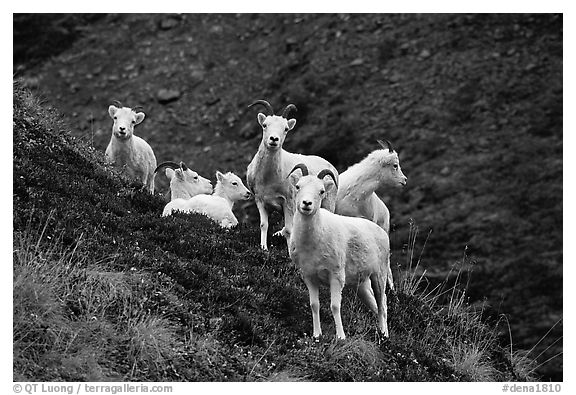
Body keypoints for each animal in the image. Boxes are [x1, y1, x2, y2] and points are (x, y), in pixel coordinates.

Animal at [246, 100, 338, 252]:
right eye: (265, 125)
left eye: (286, 129)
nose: (273, 139)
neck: (268, 179)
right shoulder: (260, 201)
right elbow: (264, 225)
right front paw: (264, 248)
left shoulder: (288, 203)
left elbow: (289, 230)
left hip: (328, 203)